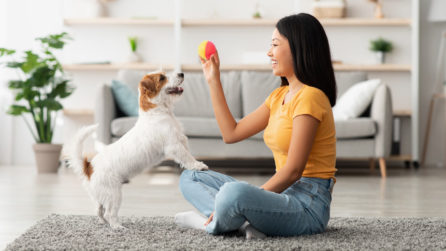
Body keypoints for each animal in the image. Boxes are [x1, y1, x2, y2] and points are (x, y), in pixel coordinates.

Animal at [65, 71, 208, 228]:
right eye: (162, 78)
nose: (181, 73)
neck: (156, 112)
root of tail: (89, 167)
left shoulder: (182, 141)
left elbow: (188, 154)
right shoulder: (174, 145)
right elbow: (187, 157)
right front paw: (198, 166)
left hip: (101, 195)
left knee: (99, 210)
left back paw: (104, 222)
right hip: (114, 194)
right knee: (109, 213)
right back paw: (118, 227)